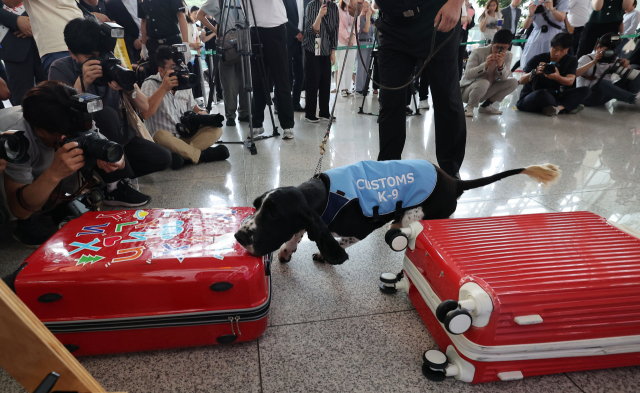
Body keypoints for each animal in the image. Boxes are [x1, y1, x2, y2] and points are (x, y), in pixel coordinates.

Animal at [235, 158, 560, 264]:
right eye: (257, 206)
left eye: (274, 215)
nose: (239, 236)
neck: (325, 195)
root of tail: (454, 182)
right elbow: (299, 232)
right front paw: (287, 250)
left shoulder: (360, 228)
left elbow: (339, 241)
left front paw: (324, 254)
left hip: (418, 214)